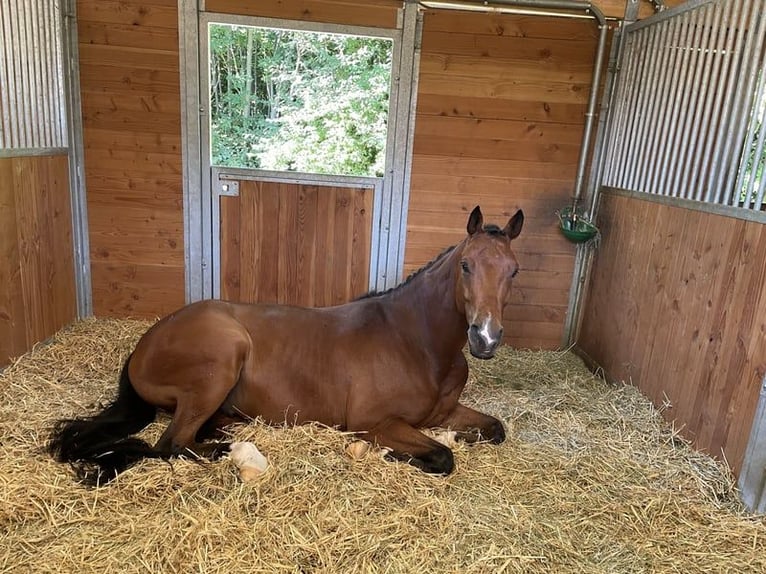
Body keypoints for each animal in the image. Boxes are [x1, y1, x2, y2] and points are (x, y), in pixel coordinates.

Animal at [47, 206, 524, 485]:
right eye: (466, 265)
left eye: (514, 270)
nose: (485, 338)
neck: (416, 342)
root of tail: (143, 346)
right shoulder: (374, 422)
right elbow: (442, 456)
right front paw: (391, 456)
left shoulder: (445, 411)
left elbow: (495, 429)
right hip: (223, 357)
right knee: (171, 444)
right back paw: (230, 453)